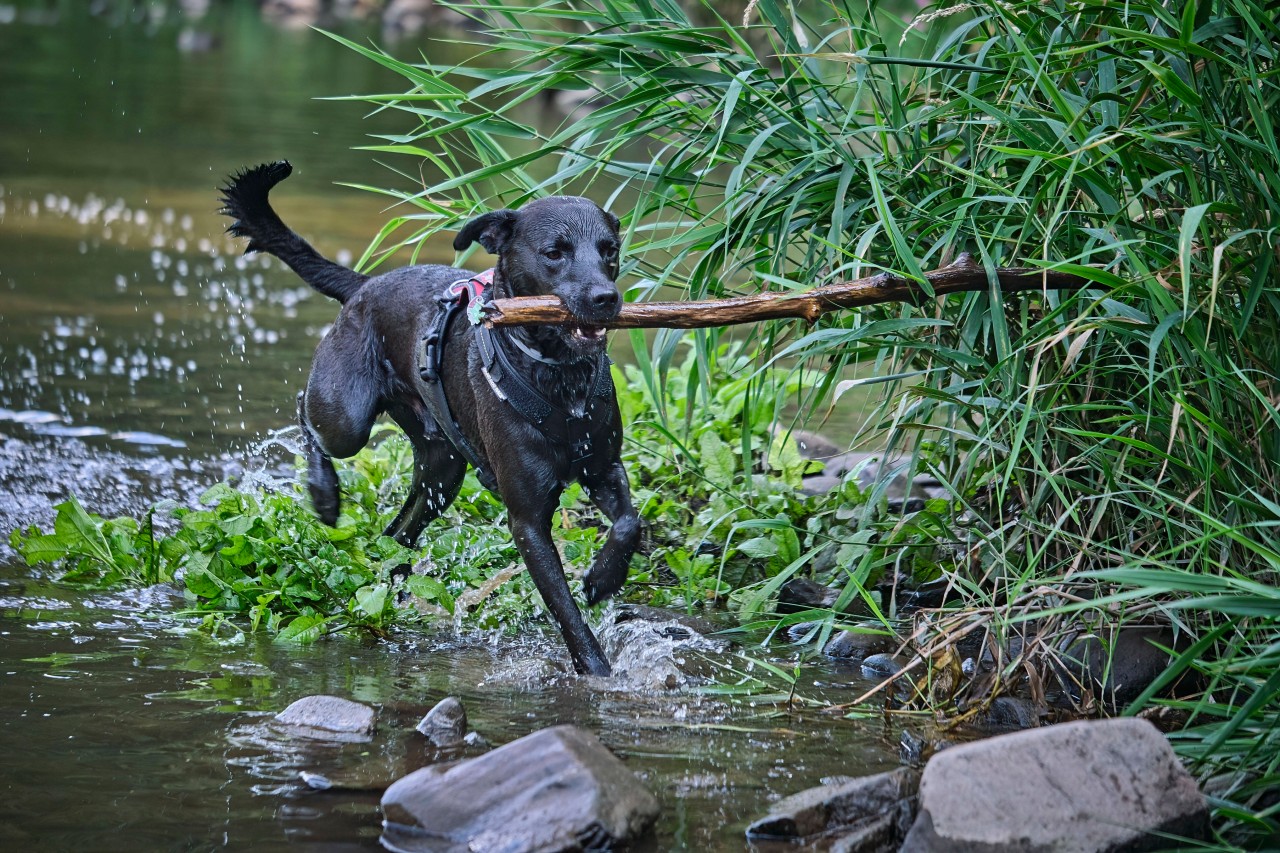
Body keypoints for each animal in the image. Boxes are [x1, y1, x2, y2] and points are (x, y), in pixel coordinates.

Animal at [222, 162, 640, 676]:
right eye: (554, 253)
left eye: (610, 251)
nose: (606, 298)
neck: (559, 379)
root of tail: (363, 286)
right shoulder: (526, 519)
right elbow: (565, 608)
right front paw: (597, 671)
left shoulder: (603, 467)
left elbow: (629, 522)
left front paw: (604, 578)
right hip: (346, 417)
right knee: (308, 413)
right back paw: (324, 493)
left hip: (443, 470)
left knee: (396, 535)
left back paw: (392, 586)